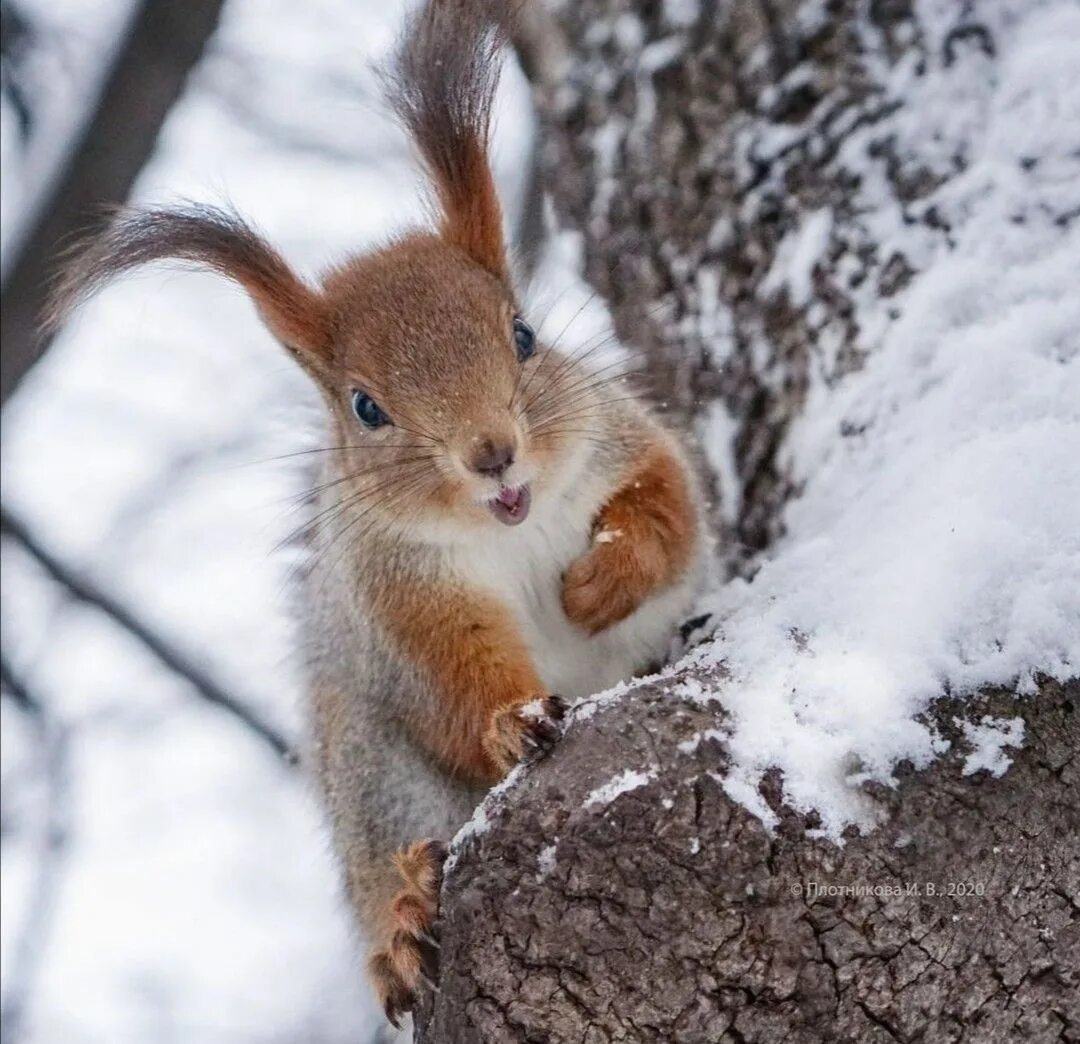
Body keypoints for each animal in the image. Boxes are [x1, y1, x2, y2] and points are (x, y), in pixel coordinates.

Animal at [50, 0, 704, 1027]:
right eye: (365, 408)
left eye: (524, 335)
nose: (492, 453)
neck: (508, 530)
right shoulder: (400, 597)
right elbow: (458, 677)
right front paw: (510, 722)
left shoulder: (618, 440)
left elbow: (669, 508)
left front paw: (603, 579)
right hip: (375, 779)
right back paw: (403, 921)